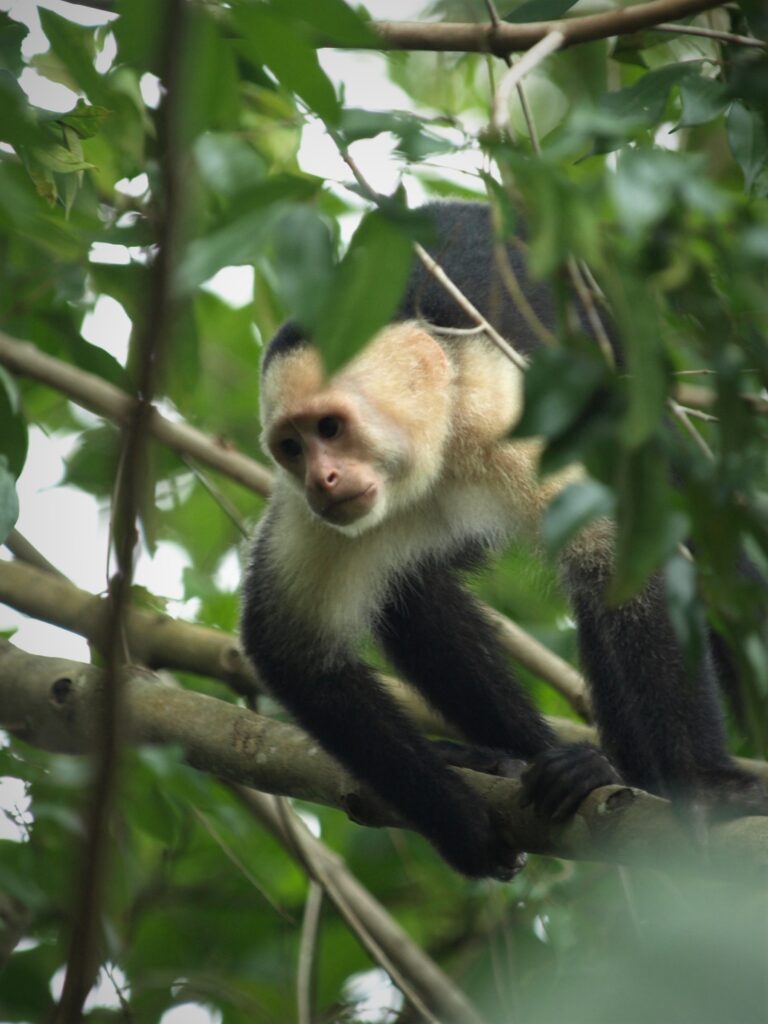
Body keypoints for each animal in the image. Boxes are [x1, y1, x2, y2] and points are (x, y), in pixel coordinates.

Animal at [240, 200, 766, 878]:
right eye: (292, 447)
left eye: (331, 428)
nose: (321, 479)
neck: (437, 452)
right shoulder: (316, 517)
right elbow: (289, 650)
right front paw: (460, 822)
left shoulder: (512, 417)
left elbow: (627, 558)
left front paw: (703, 791)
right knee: (416, 593)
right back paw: (514, 759)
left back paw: (620, 774)